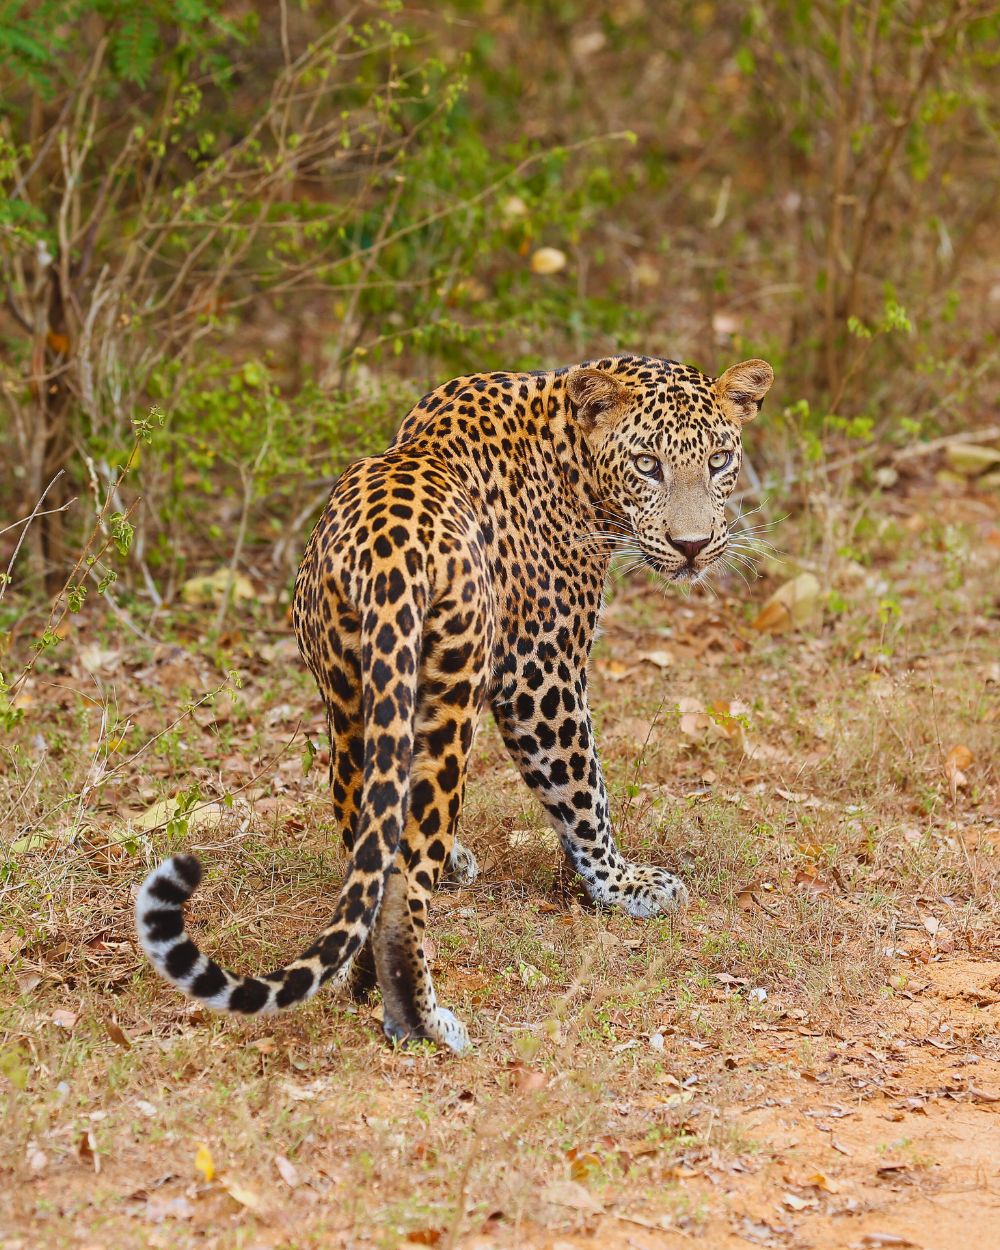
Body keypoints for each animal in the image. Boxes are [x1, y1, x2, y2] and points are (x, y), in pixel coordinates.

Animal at [136, 353, 774, 1052]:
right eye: (647, 464)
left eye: (719, 460)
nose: (692, 545)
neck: (571, 457)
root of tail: (385, 561)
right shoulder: (539, 673)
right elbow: (583, 788)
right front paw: (621, 884)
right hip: (452, 706)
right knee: (406, 875)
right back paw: (423, 1018)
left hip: (351, 702)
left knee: (366, 837)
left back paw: (370, 981)